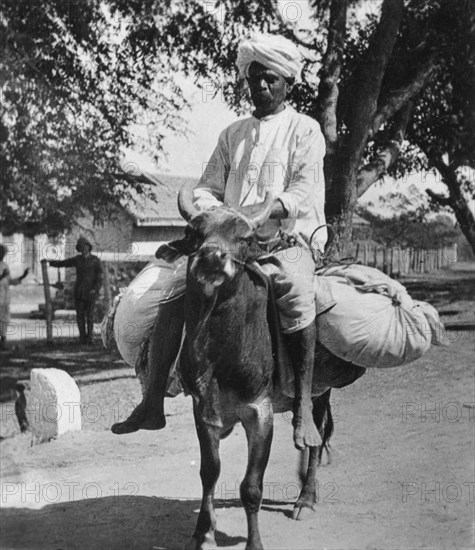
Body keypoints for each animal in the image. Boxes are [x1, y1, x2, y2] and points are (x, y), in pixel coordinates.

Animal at [158, 183, 366, 548]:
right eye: (194, 234)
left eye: (245, 238)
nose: (211, 257)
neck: (222, 352)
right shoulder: (203, 410)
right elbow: (209, 472)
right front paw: (203, 531)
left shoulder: (259, 413)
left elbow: (251, 487)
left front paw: (254, 542)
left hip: (318, 391)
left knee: (316, 435)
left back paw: (306, 497)